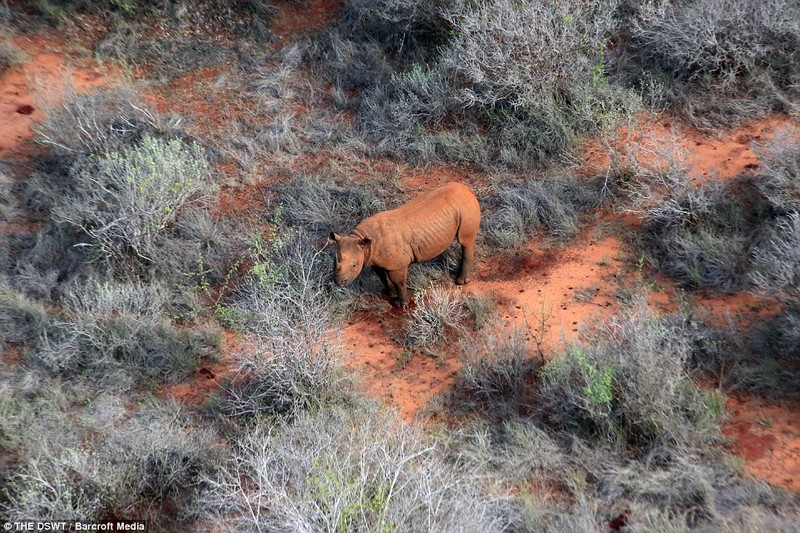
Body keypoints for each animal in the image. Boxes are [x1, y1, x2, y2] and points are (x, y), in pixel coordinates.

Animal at [326, 183, 478, 308]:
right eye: (334, 262)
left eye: (354, 265)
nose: (339, 282)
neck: (362, 240)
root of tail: (468, 190)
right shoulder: (373, 258)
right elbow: (382, 276)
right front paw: (387, 292)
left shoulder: (397, 264)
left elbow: (398, 282)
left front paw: (401, 304)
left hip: (466, 208)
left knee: (465, 241)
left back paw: (461, 282)